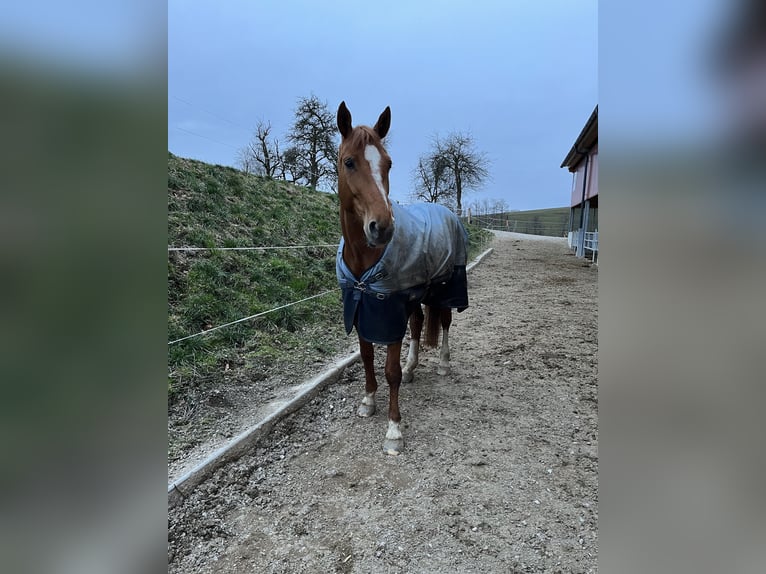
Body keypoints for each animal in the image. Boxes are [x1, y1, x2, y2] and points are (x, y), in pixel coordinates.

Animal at [335, 101, 469, 455]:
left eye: (389, 163)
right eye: (349, 161)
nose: (382, 227)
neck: (364, 261)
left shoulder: (389, 309)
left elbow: (390, 371)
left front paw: (394, 430)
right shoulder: (363, 307)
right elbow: (368, 358)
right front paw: (368, 401)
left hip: (445, 289)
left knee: (445, 322)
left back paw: (443, 364)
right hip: (415, 295)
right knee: (419, 324)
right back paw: (413, 367)